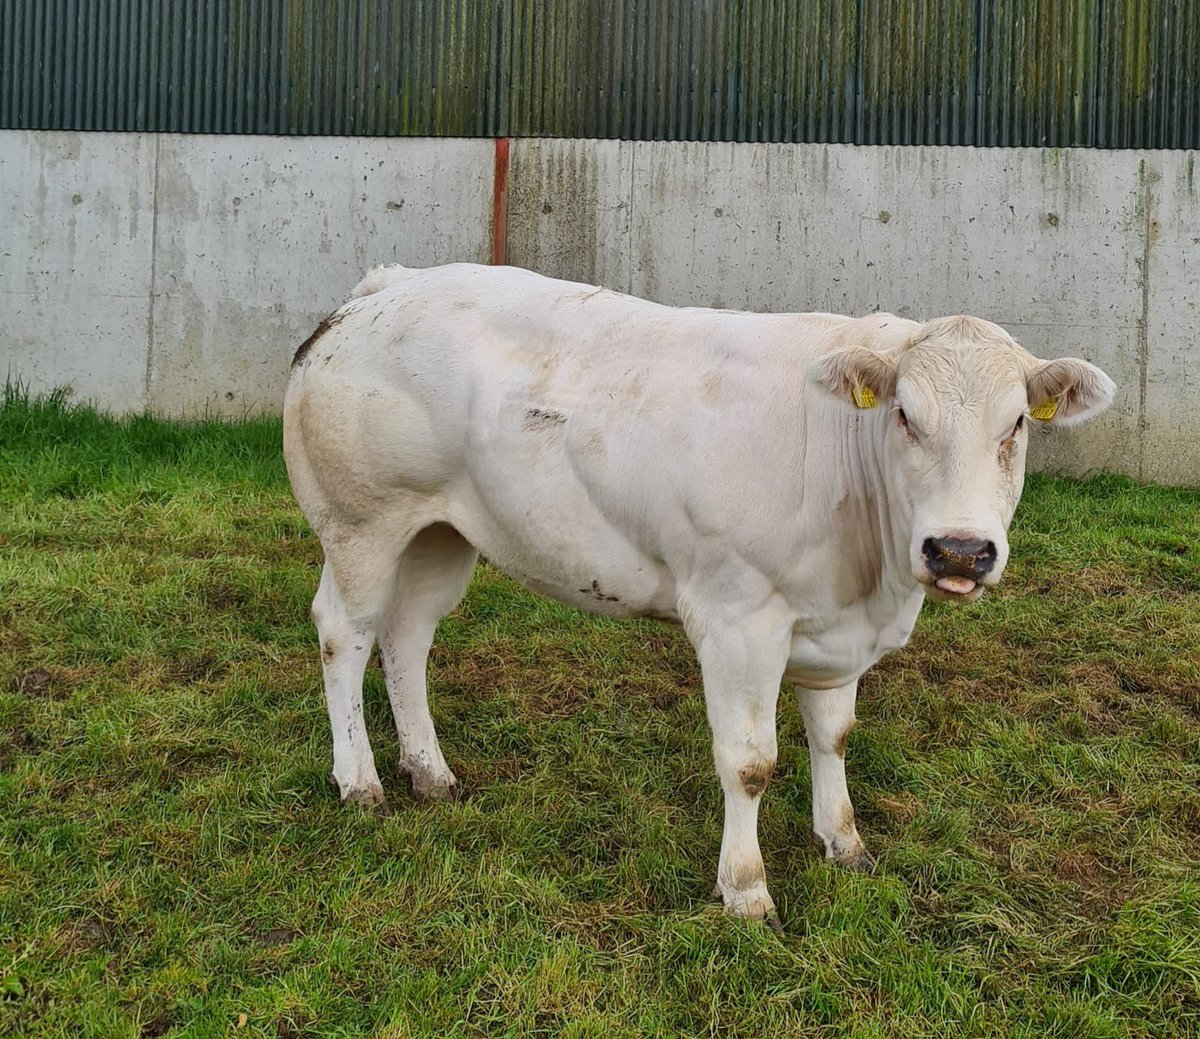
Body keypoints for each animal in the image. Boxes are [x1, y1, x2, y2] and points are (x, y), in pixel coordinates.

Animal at [283, 262, 1114, 928]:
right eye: (906, 415)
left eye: (1016, 424)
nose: (960, 551)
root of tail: (386, 285)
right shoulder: (737, 615)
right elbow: (749, 761)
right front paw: (746, 890)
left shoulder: (836, 629)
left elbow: (834, 737)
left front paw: (844, 840)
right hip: (362, 518)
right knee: (344, 632)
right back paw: (360, 780)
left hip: (441, 531)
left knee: (408, 635)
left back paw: (430, 771)